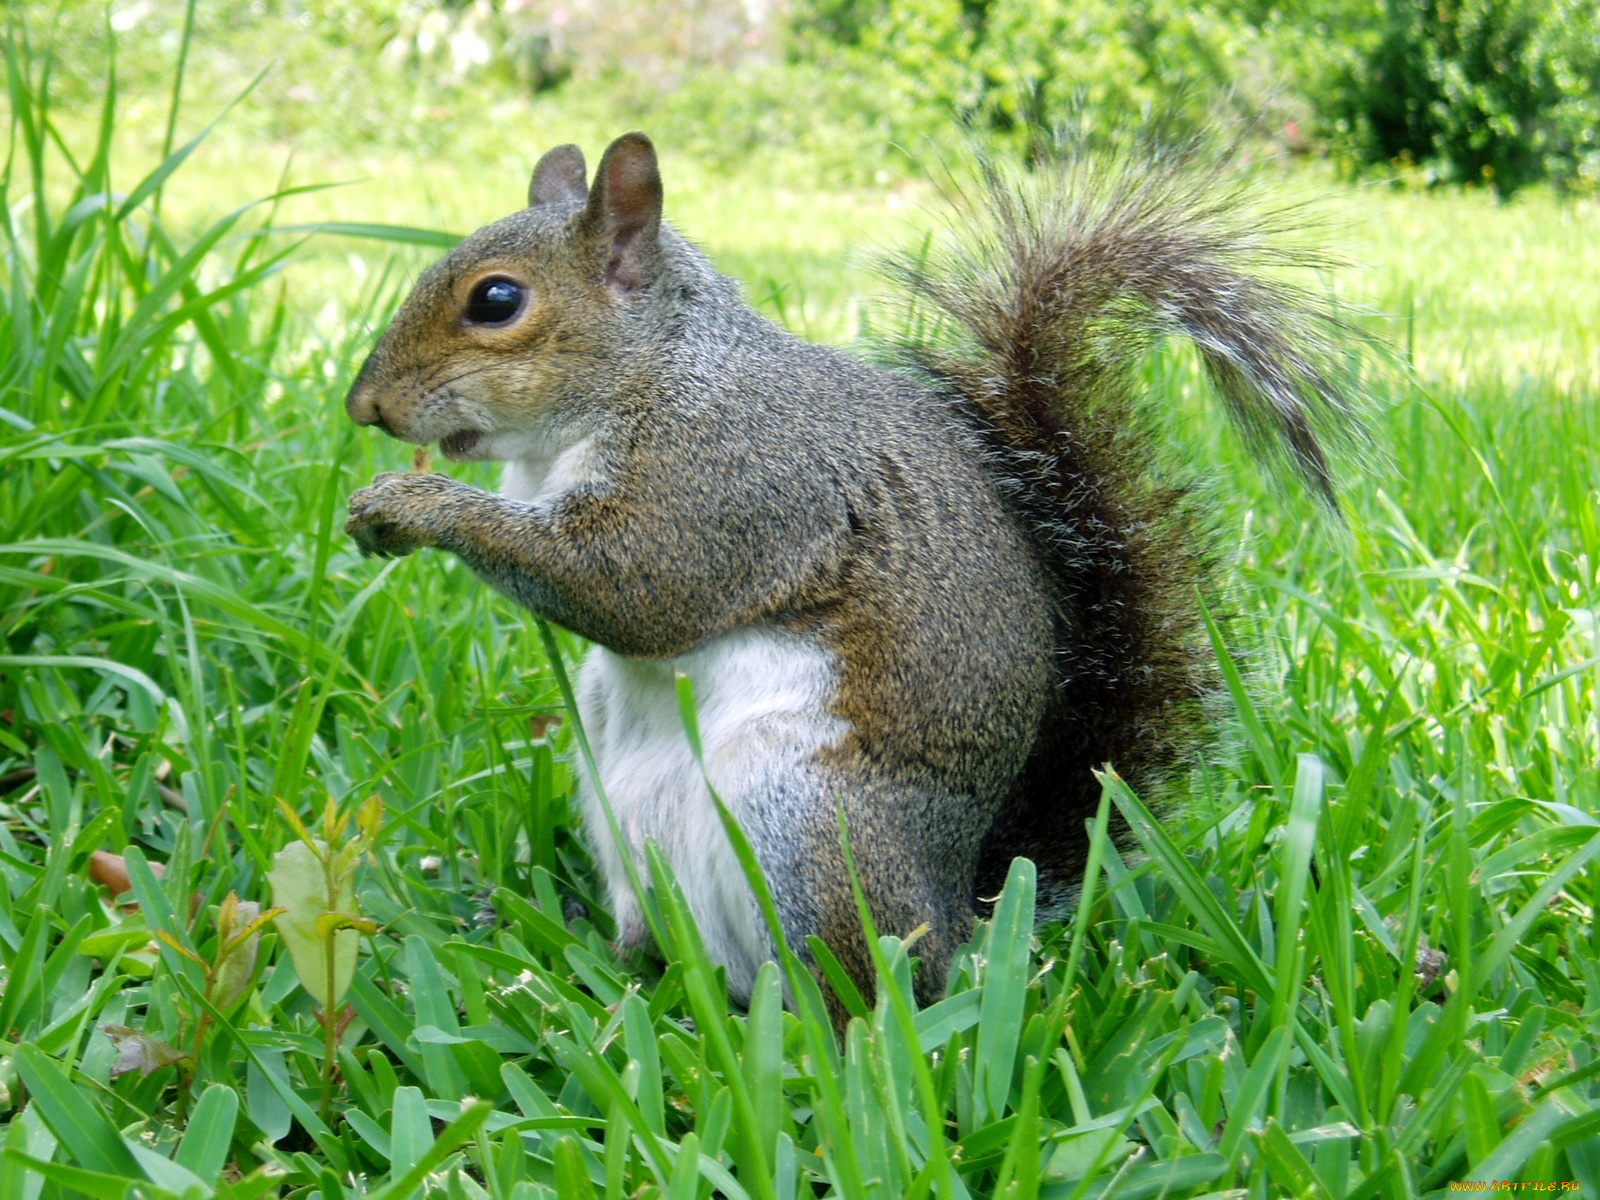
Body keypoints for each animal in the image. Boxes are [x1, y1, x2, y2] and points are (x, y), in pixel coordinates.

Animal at [343, 132, 1359, 1012]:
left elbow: (632, 590)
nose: (365, 407)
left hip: (810, 824)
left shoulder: (728, 481)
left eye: (497, 301)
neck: (654, 373)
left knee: (864, 986)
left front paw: (414, 507)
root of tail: (959, 910)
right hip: (623, 810)